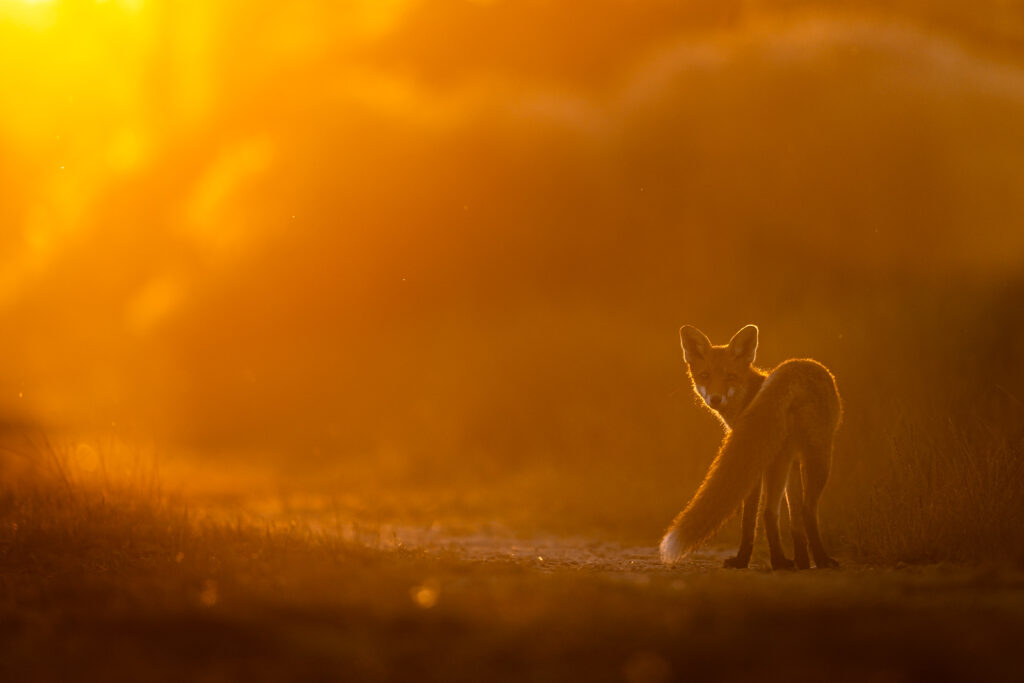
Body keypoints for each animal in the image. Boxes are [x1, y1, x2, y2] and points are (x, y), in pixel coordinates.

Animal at [659, 324, 841, 570]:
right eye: (705, 375)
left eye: (730, 376)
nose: (715, 399)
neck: (750, 396)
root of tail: (791, 374)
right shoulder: (766, 459)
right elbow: (761, 518)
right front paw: (750, 559)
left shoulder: (758, 460)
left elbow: (749, 519)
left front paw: (743, 560)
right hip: (793, 459)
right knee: (791, 512)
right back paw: (799, 561)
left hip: (816, 457)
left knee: (797, 511)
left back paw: (804, 560)